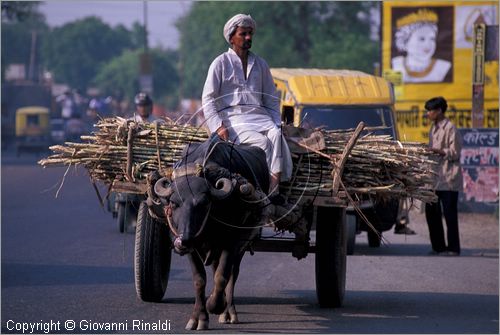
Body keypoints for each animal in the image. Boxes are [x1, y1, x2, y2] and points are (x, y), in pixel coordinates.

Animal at [153, 135, 270, 332]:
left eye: (203, 203)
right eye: (174, 203)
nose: (183, 241)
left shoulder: (231, 243)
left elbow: (222, 276)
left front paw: (215, 305)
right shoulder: (191, 248)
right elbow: (199, 279)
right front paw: (198, 318)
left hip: (242, 244)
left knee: (232, 274)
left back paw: (229, 312)